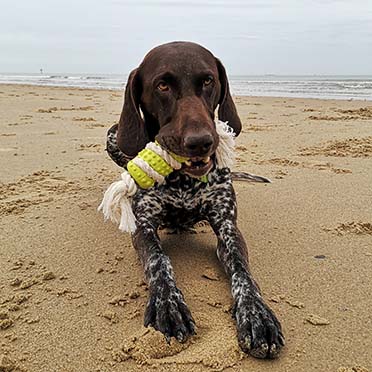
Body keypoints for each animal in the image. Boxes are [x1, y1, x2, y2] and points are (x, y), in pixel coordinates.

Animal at [104, 42, 284, 358]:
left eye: (208, 81)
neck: (183, 182)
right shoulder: (143, 228)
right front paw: (168, 304)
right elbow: (158, 261)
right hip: (114, 134)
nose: (201, 142)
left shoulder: (227, 226)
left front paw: (256, 313)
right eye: (162, 85)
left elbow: (243, 271)